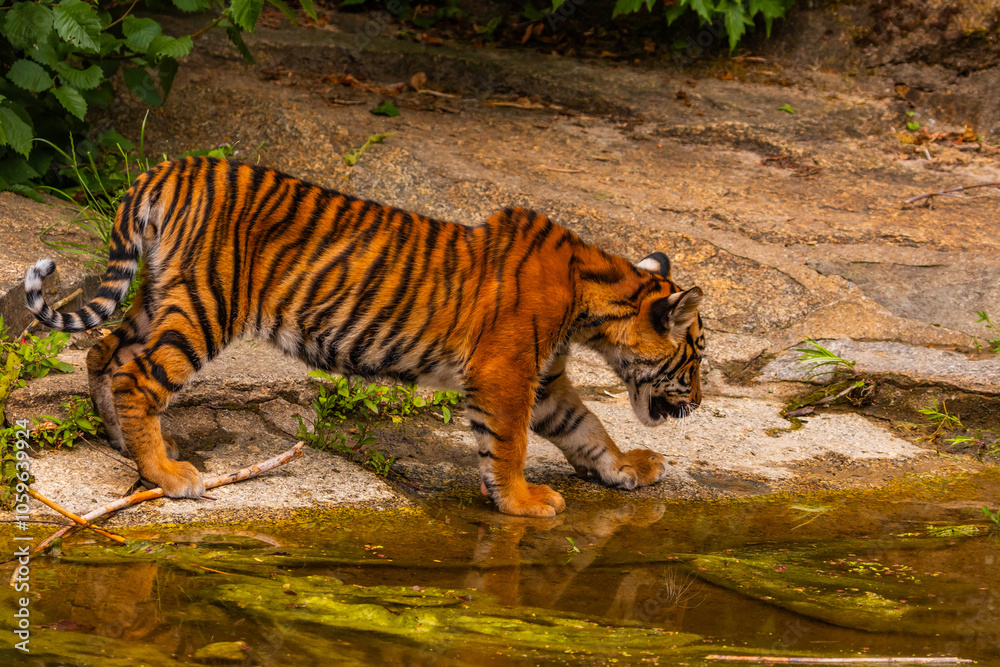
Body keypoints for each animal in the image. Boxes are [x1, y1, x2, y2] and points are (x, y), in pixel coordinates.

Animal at [24, 157, 705, 518]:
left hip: (157, 298)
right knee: (139, 376)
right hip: (205, 307)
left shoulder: (545, 380)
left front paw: (626, 468)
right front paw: (524, 503)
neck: (594, 299)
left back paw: (122, 444)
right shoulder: (507, 374)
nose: (697, 403)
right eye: (695, 360)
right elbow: (508, 446)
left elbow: (586, 428)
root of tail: (172, 166)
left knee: (104, 352)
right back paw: (169, 474)